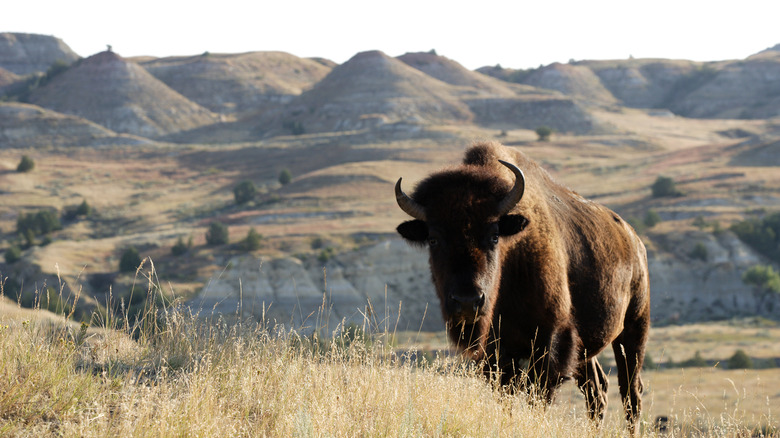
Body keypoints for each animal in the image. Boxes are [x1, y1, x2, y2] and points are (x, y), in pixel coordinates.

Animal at [395, 141, 650, 433]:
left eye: (494, 236)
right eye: (433, 239)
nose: (467, 302)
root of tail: (634, 240)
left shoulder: (550, 343)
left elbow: (536, 398)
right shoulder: (496, 355)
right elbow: (507, 398)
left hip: (634, 328)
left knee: (631, 392)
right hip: (588, 348)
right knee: (597, 391)